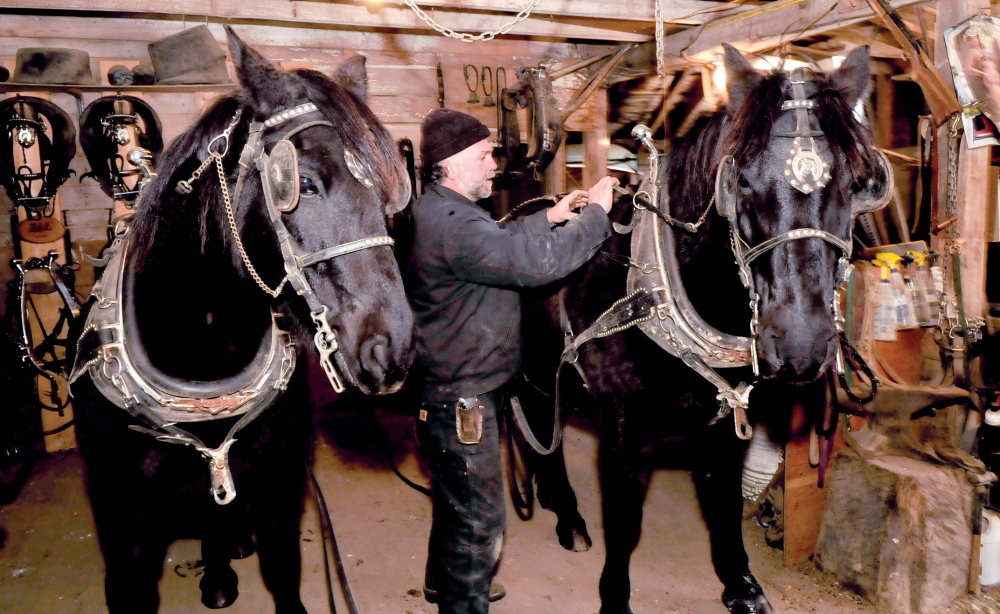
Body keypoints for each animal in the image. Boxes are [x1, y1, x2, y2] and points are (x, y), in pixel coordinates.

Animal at [69, 30, 414, 614]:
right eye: (303, 183)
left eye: (386, 188)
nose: (392, 348)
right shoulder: (125, 528)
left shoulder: (280, 493)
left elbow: (283, 573)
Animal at [520, 44, 888, 614]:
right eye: (741, 182)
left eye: (854, 185)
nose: (800, 343)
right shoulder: (625, 434)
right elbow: (625, 522)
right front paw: (615, 596)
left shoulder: (730, 417)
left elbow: (724, 504)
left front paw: (741, 584)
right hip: (539, 375)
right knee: (544, 434)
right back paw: (568, 514)